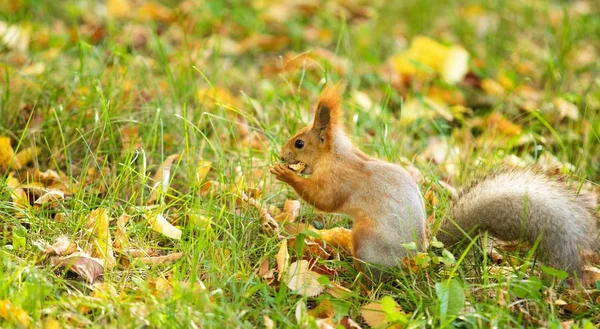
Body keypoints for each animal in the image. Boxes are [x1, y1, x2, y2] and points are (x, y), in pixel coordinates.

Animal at [270, 84, 596, 276]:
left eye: (299, 143)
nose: (282, 154)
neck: (335, 156)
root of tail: (417, 261)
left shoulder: (338, 179)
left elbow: (323, 199)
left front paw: (285, 174)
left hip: (367, 239)